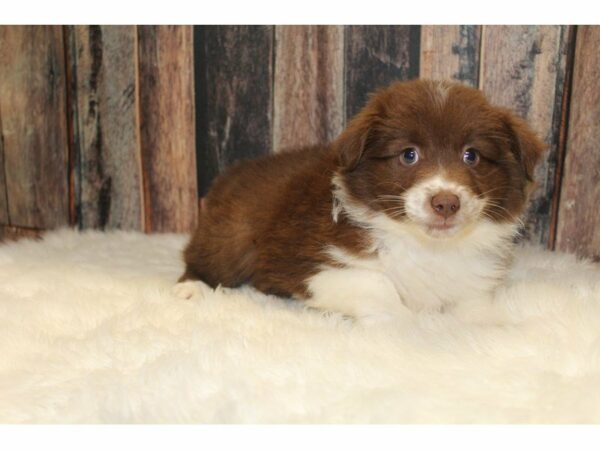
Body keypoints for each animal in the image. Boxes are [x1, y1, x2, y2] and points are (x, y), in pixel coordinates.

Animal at [172, 79, 544, 322]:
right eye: (409, 155)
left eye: (472, 156)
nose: (446, 203)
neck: (427, 247)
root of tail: (233, 172)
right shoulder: (312, 265)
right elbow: (380, 286)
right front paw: (409, 321)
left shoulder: (472, 281)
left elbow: (474, 308)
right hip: (232, 233)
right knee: (201, 257)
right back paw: (191, 289)